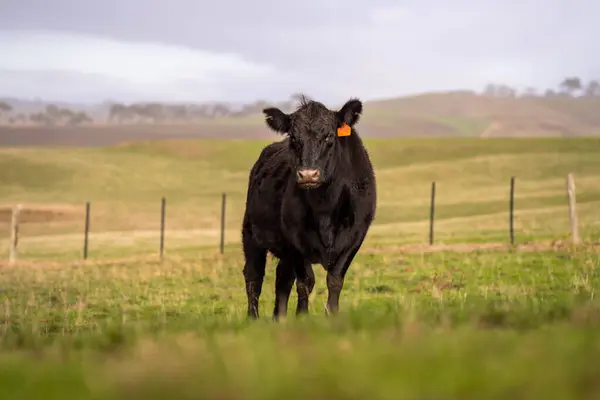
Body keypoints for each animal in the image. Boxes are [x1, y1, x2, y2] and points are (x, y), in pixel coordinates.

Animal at [240, 95, 376, 320]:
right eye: (294, 138)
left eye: (329, 135)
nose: (308, 174)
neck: (325, 206)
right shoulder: (295, 239)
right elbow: (305, 282)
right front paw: (302, 317)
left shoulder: (355, 237)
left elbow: (335, 280)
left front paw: (332, 315)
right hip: (251, 232)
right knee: (253, 275)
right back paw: (253, 318)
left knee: (282, 280)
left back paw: (279, 318)